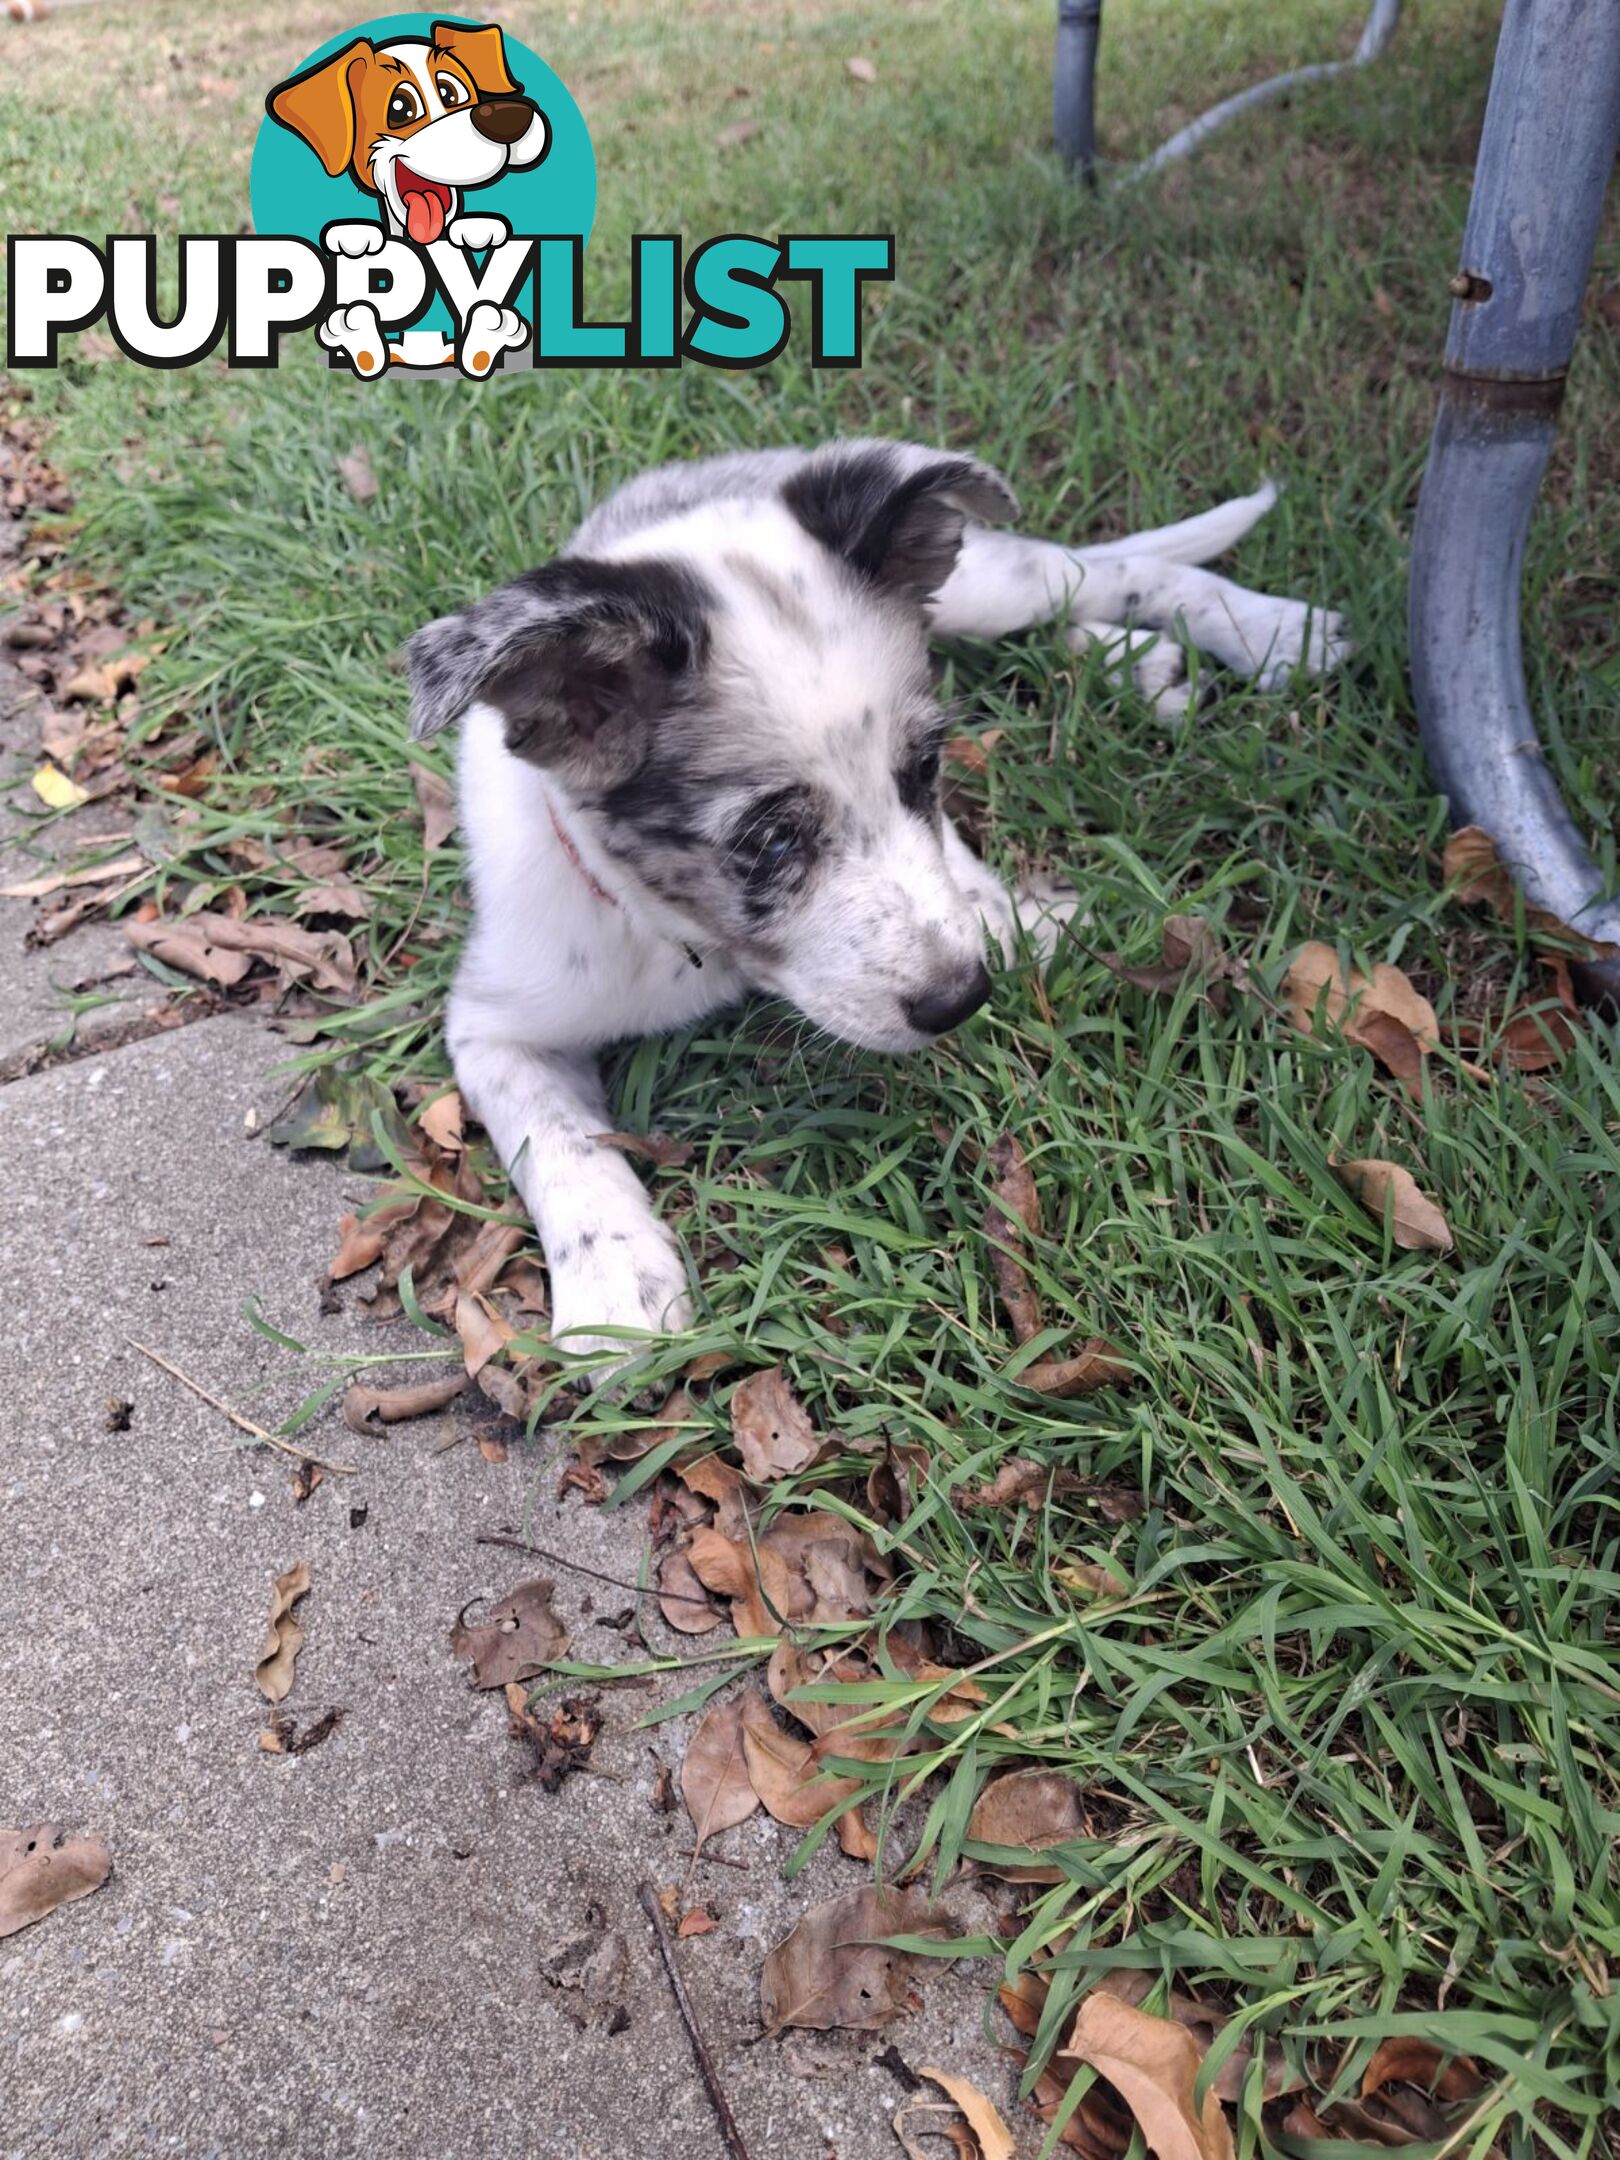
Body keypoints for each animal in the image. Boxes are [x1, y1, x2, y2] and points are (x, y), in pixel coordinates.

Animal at [412, 442, 1347, 1365]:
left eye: (926, 770)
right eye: (770, 842)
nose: (960, 1001)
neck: (691, 942)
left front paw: (1007, 911)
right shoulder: (497, 1023)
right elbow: (558, 1139)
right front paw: (614, 1286)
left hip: (981, 585)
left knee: (1111, 569)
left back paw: (1270, 634)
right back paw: (1141, 662)